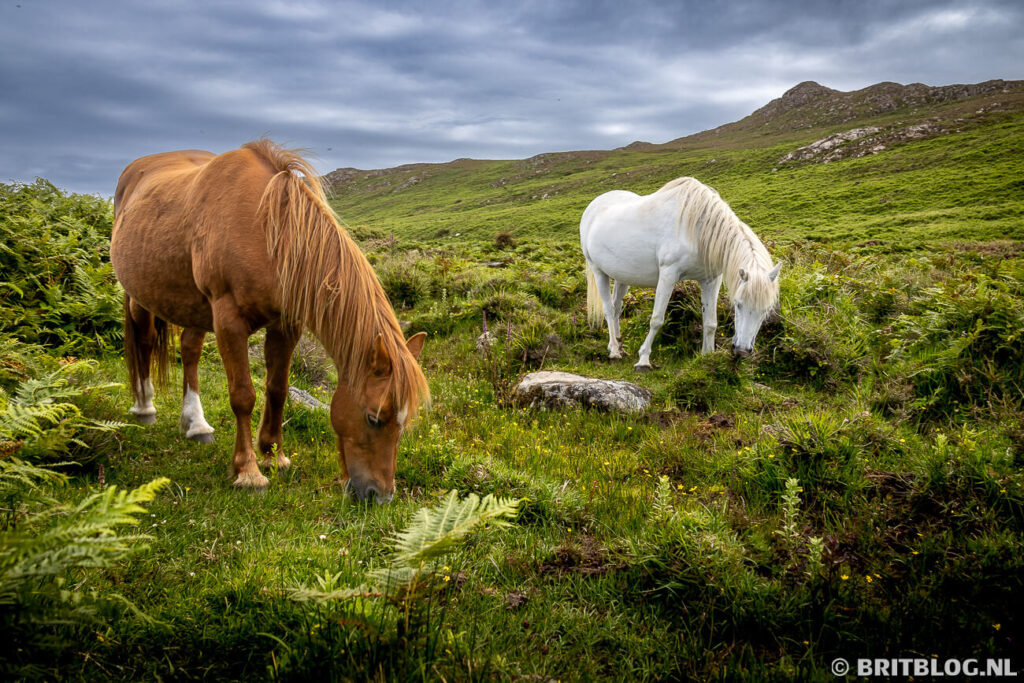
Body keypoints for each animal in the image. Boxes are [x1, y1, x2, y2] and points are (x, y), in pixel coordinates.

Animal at [110, 139, 429, 502]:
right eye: (374, 417)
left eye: (405, 421)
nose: (381, 495)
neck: (266, 231)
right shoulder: (229, 322)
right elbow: (243, 396)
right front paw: (248, 471)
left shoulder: (286, 325)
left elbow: (277, 389)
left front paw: (274, 456)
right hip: (138, 296)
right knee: (145, 341)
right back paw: (145, 407)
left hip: (193, 307)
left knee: (190, 351)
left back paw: (196, 424)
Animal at [581, 177, 781, 370]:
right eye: (738, 304)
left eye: (766, 310)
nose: (742, 350)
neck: (698, 231)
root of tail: (593, 206)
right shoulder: (668, 275)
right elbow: (657, 319)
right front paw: (644, 359)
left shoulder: (711, 280)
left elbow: (710, 323)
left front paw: (707, 357)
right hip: (598, 271)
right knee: (608, 309)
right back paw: (615, 351)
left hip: (623, 277)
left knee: (616, 307)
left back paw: (618, 345)